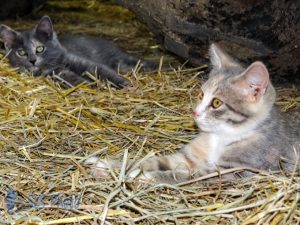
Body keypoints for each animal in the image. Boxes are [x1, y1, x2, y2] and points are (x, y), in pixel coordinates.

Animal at [0, 15, 154, 87]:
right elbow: (71, 78)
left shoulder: (81, 61)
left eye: (40, 48)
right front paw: (88, 83)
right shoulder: (55, 74)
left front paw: (127, 85)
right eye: (21, 52)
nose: (32, 60)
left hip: (120, 59)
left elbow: (104, 71)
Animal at [85, 43, 298, 183]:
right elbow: (151, 160)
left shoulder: (236, 173)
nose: (195, 113)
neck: (220, 137)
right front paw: (109, 165)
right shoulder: (188, 158)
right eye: (201, 94)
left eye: (216, 103)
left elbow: (192, 177)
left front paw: (149, 176)